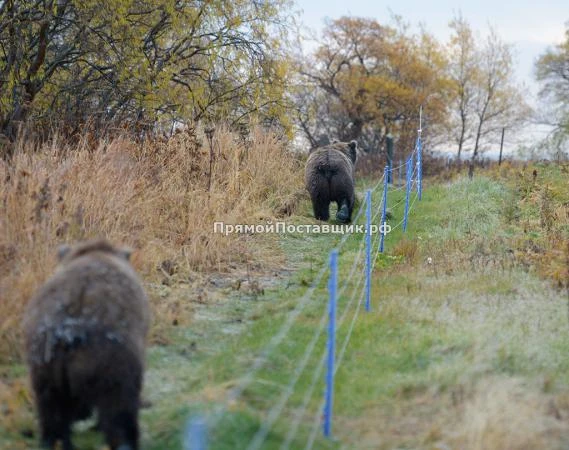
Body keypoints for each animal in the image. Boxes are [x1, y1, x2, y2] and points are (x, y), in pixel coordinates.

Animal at [23, 237, 150, 448]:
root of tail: (68, 332)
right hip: (110, 361)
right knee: (119, 406)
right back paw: (125, 439)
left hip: (45, 365)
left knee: (51, 411)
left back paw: (54, 440)